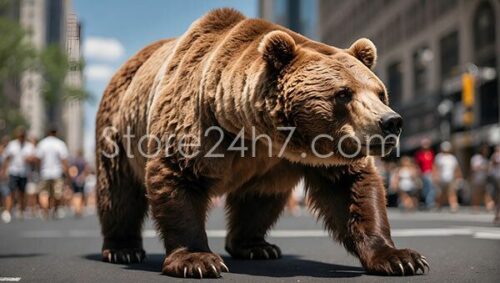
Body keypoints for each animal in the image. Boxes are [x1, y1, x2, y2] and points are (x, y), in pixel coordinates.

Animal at [95, 7, 428, 278]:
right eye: (343, 93)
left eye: (379, 92)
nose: (391, 122)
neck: (253, 132)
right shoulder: (197, 123)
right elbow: (179, 175)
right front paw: (198, 260)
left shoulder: (315, 152)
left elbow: (352, 189)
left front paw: (400, 257)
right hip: (118, 129)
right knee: (118, 191)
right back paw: (123, 248)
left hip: (268, 172)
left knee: (260, 198)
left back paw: (256, 246)